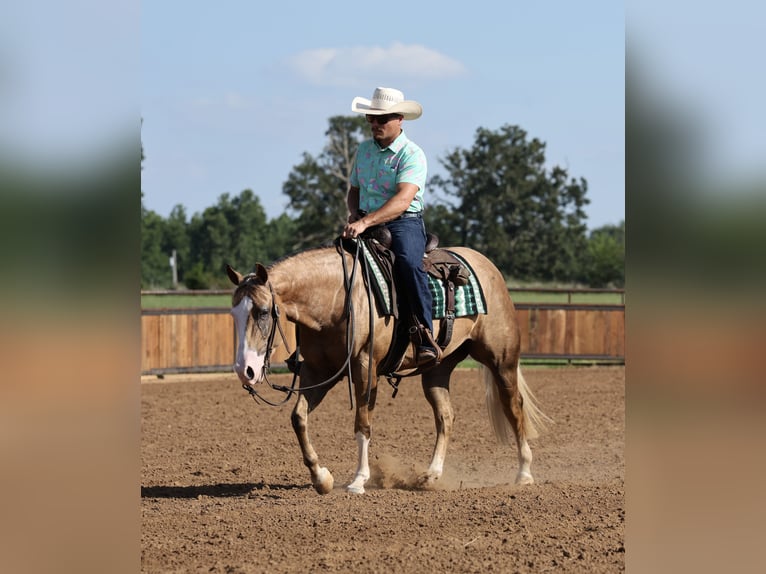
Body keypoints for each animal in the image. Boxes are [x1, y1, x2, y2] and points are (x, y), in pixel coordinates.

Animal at [226, 241, 550, 495]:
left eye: (263, 312)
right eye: (234, 313)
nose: (245, 370)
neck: (336, 299)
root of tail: (487, 266)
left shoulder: (364, 368)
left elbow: (362, 424)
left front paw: (358, 480)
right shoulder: (318, 372)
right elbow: (298, 418)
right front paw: (322, 478)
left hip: (501, 361)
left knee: (514, 407)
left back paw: (524, 474)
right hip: (437, 370)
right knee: (445, 416)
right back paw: (431, 475)